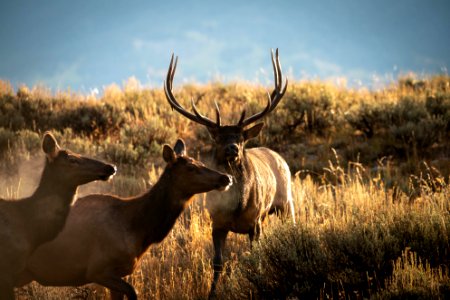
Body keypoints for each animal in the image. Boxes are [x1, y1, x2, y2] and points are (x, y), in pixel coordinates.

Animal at [17, 139, 232, 300]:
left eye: (200, 162)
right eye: (190, 167)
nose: (226, 178)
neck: (139, 229)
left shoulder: (117, 273)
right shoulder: (98, 269)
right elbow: (134, 292)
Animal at [164, 48, 296, 296]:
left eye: (241, 138)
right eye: (218, 137)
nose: (232, 148)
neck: (237, 206)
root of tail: (278, 156)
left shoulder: (255, 222)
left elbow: (255, 258)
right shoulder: (217, 222)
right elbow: (217, 262)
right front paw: (212, 293)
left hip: (286, 203)